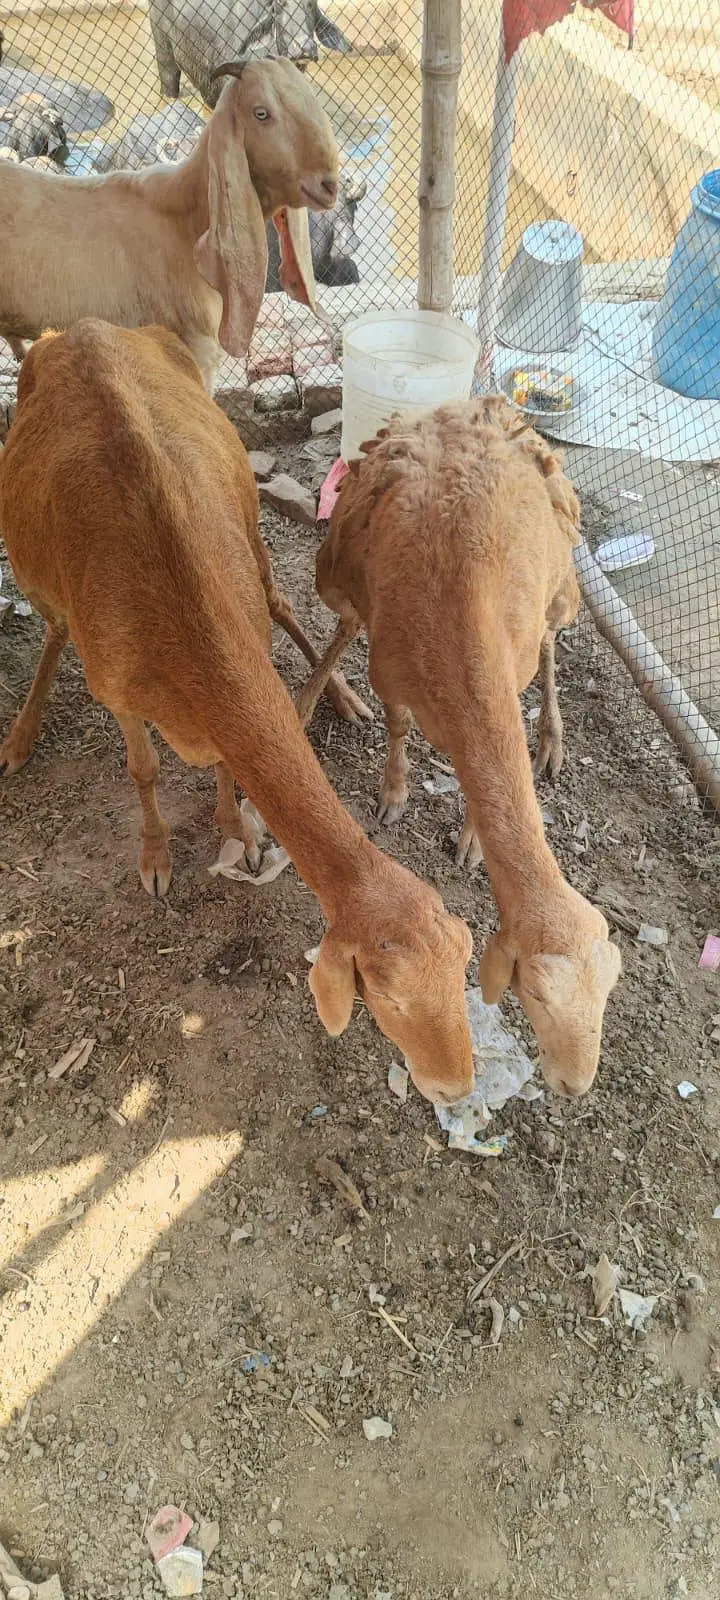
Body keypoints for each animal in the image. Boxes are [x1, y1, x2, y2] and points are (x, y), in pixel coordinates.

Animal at [0, 320, 474, 1104]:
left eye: (466, 963)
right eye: (384, 996)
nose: (457, 1086)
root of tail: (79, 327)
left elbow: (227, 760)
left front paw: (240, 831)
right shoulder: (115, 686)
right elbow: (143, 765)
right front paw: (158, 856)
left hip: (251, 528)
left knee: (280, 595)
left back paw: (345, 698)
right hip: (39, 574)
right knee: (56, 625)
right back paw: (18, 737)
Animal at [295, 396, 621, 1097]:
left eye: (609, 993)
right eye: (536, 995)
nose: (575, 1087)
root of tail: (469, 406)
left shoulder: (509, 670)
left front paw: (472, 839)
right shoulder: (391, 669)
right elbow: (396, 724)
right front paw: (393, 795)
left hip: (562, 587)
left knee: (552, 643)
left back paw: (552, 740)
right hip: (337, 570)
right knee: (345, 620)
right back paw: (317, 694)